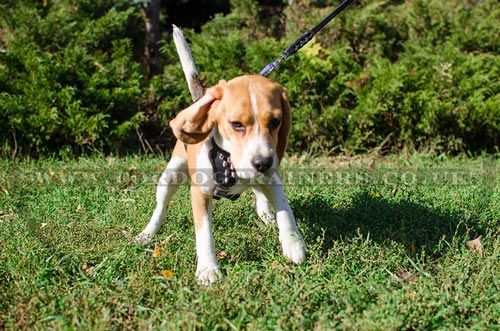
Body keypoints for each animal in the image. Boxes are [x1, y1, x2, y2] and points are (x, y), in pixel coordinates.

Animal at [135, 76, 304, 286]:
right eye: (236, 124)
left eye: (275, 121)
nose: (262, 163)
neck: (229, 159)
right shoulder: (200, 193)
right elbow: (204, 232)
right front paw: (208, 269)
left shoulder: (272, 178)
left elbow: (285, 211)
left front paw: (293, 243)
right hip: (171, 175)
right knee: (160, 208)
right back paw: (147, 233)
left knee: (259, 195)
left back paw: (266, 215)